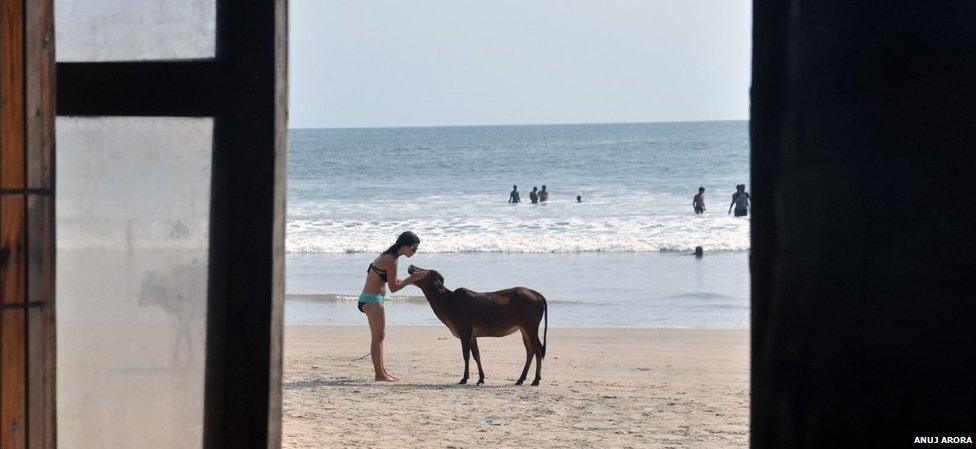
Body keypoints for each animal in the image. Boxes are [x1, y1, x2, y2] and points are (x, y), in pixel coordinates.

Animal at [406, 262, 548, 384]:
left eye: (426, 271)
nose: (411, 266)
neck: (448, 301)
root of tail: (537, 294)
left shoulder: (465, 333)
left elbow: (466, 356)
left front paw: (464, 378)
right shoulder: (472, 336)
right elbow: (477, 355)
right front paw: (481, 379)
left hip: (531, 327)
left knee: (538, 349)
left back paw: (536, 379)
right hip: (524, 329)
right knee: (530, 351)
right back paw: (521, 379)